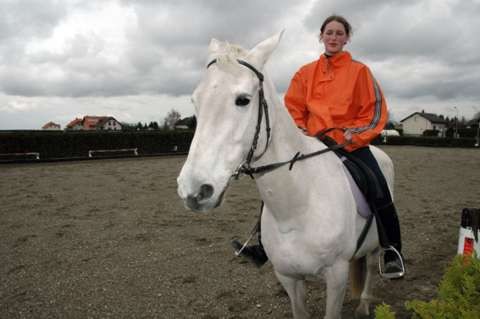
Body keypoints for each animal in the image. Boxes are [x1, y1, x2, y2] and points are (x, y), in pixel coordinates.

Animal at [176, 33, 394, 319]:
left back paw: (364, 304)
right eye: (195, 100)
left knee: (369, 266)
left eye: (243, 99)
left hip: (376, 245)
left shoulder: (337, 275)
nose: (193, 189)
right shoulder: (288, 277)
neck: (297, 206)